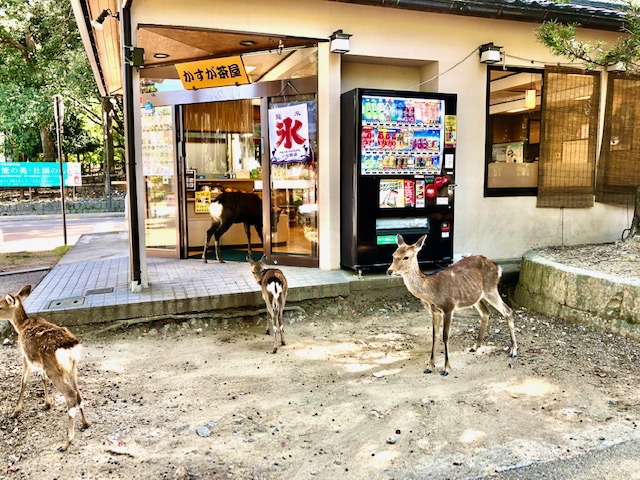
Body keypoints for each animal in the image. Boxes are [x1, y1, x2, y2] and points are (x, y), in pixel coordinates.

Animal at [0, 285, 90, 451]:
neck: (21, 326)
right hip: (72, 368)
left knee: (71, 395)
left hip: (53, 369)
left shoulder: (25, 356)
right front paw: (47, 404)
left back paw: (66, 443)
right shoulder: (40, 364)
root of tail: (70, 347)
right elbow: (42, 379)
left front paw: (16, 411)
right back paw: (86, 423)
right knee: (79, 393)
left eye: (0, 306)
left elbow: (23, 382)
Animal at [387, 235, 517, 376]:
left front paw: (446, 369)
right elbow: (434, 336)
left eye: (406, 257)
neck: (431, 291)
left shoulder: (448, 307)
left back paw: (513, 351)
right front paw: (429, 366)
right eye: (393, 255)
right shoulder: (434, 311)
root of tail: (498, 268)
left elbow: (445, 337)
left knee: (507, 311)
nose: (389, 271)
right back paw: (475, 347)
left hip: (491, 289)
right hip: (475, 296)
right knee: (486, 312)